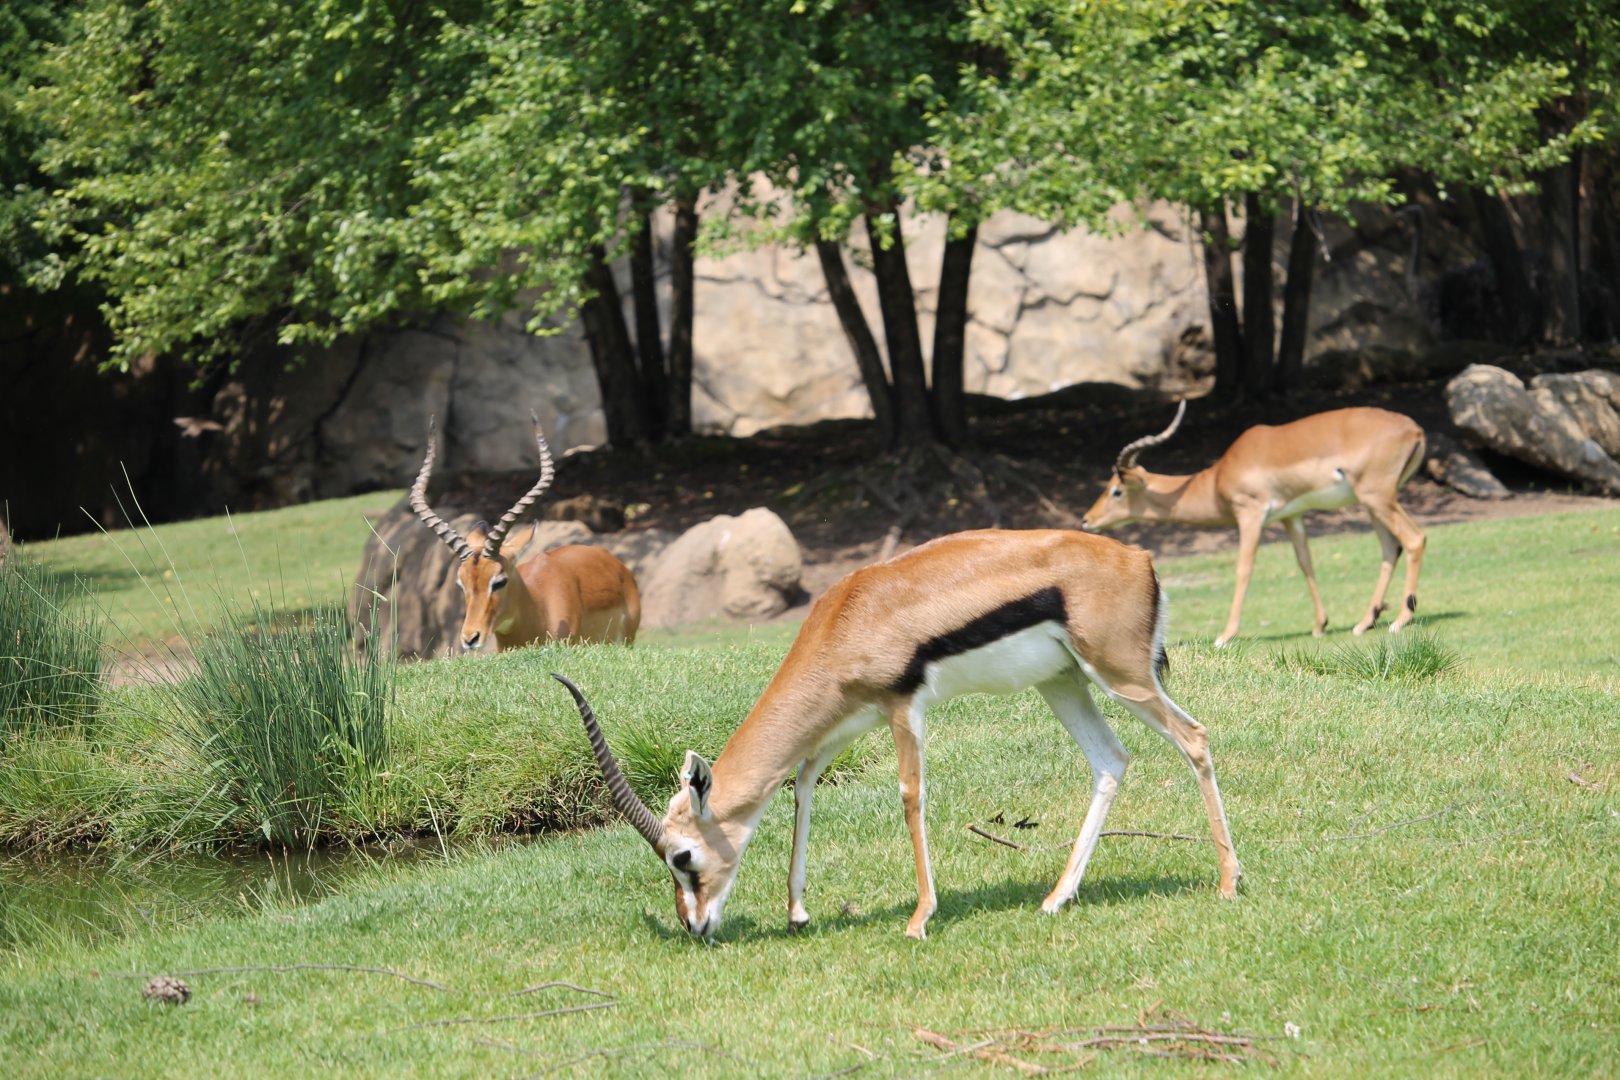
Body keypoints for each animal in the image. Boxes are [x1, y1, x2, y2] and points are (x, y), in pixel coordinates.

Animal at [554, 528, 1241, 941]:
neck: (846, 618)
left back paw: (1229, 884)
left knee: (1195, 737)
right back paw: (1055, 898)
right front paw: (798, 912)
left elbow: (910, 797)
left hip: (1122, 677)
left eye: (682, 857)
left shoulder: (903, 708)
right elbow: (803, 781)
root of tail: (1139, 559)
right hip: (1063, 682)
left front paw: (918, 919)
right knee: (1111, 761)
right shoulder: (850, 716)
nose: (694, 926)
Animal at [1081, 403, 1427, 647]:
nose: (1087, 520)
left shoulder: (1250, 513)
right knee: (1389, 549)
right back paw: (1365, 622)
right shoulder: (1291, 516)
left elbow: (1244, 568)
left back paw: (1400, 620)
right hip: (1371, 503)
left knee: (1414, 539)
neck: (1217, 478)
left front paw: (1226, 635)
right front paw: (1320, 625)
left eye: (1116, 490)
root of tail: (1414, 429)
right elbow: (1306, 563)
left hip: (1377, 497)